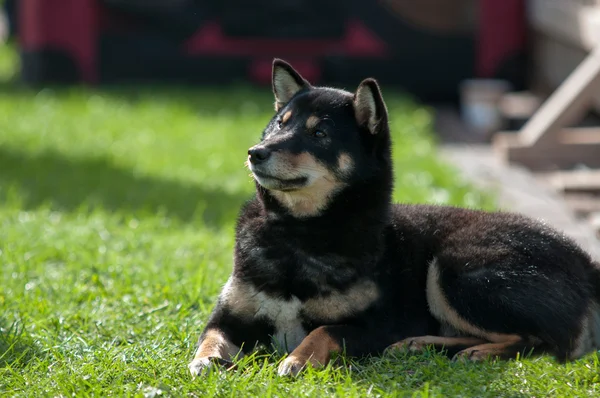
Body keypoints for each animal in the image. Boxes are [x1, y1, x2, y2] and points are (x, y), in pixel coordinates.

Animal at [188, 58, 600, 376]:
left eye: (319, 133)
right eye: (279, 124)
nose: (256, 152)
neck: (298, 232)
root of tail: (583, 260)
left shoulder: (380, 324)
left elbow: (324, 331)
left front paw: (298, 359)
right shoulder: (228, 317)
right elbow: (208, 337)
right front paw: (205, 361)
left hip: (456, 268)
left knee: (537, 340)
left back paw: (472, 351)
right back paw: (422, 344)